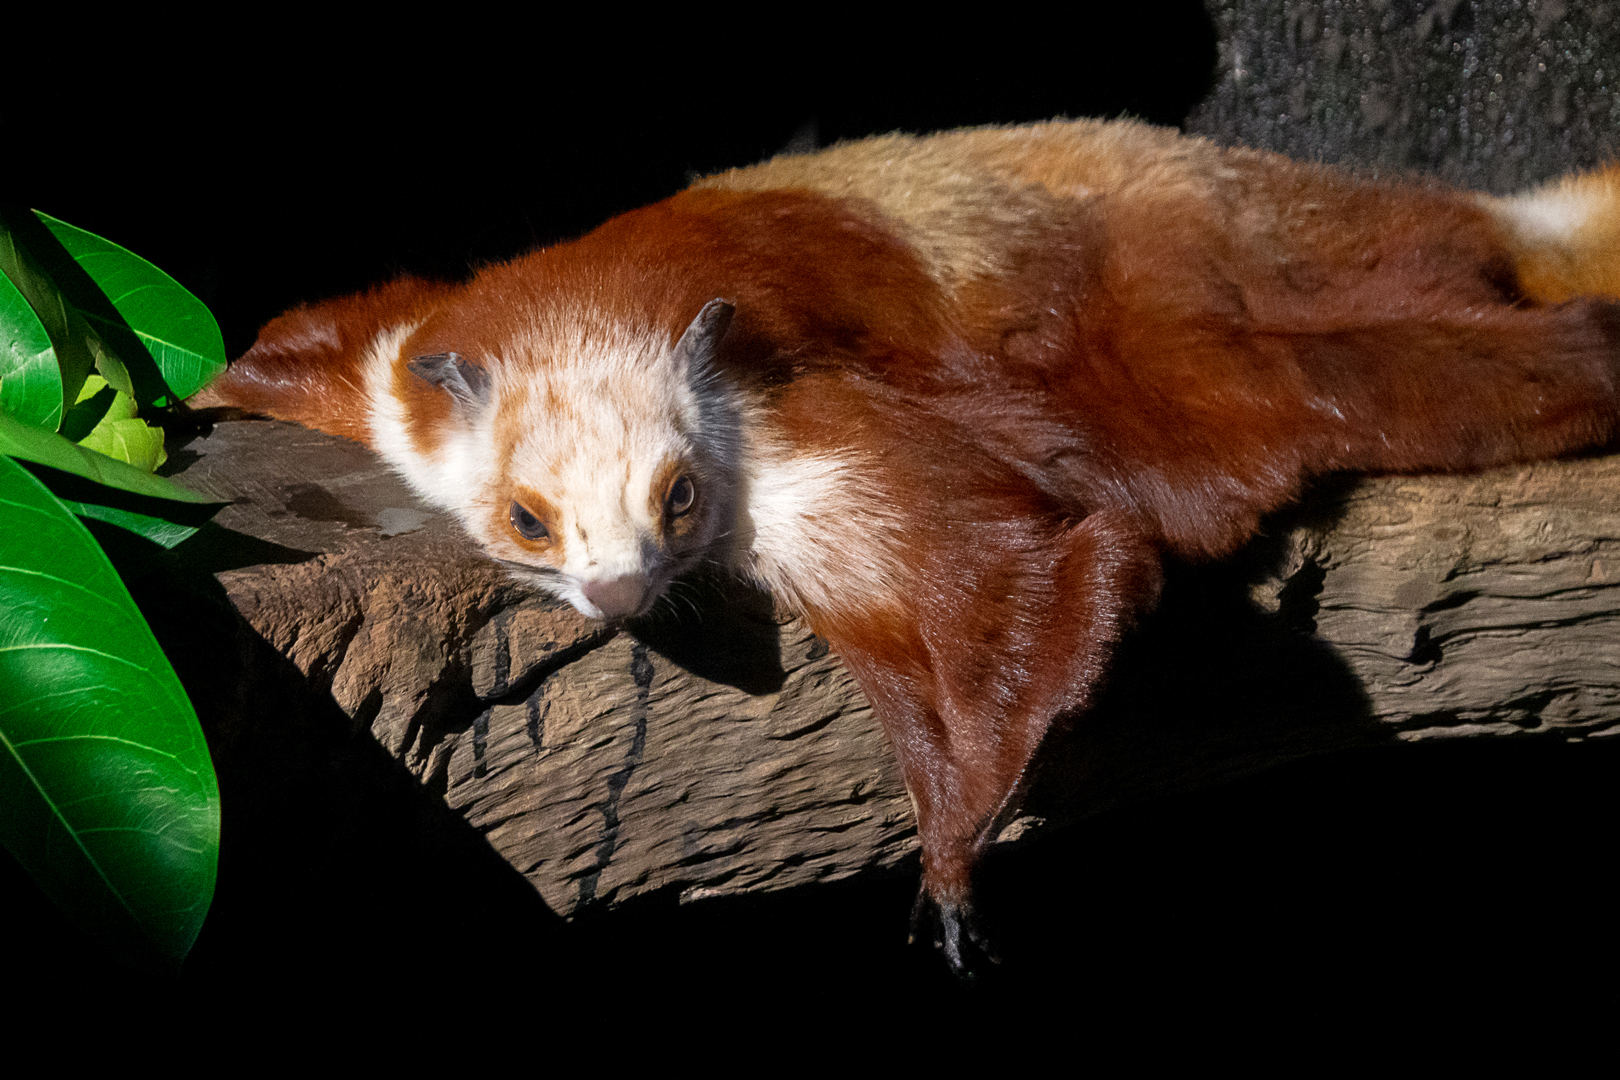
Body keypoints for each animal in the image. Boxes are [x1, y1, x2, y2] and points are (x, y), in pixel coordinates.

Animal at [196, 118, 1620, 973]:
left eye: (677, 499)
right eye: (526, 519)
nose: (620, 589)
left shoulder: (809, 435)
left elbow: (1062, 581)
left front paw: (951, 860)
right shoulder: (401, 364)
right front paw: (204, 388)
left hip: (1286, 316)